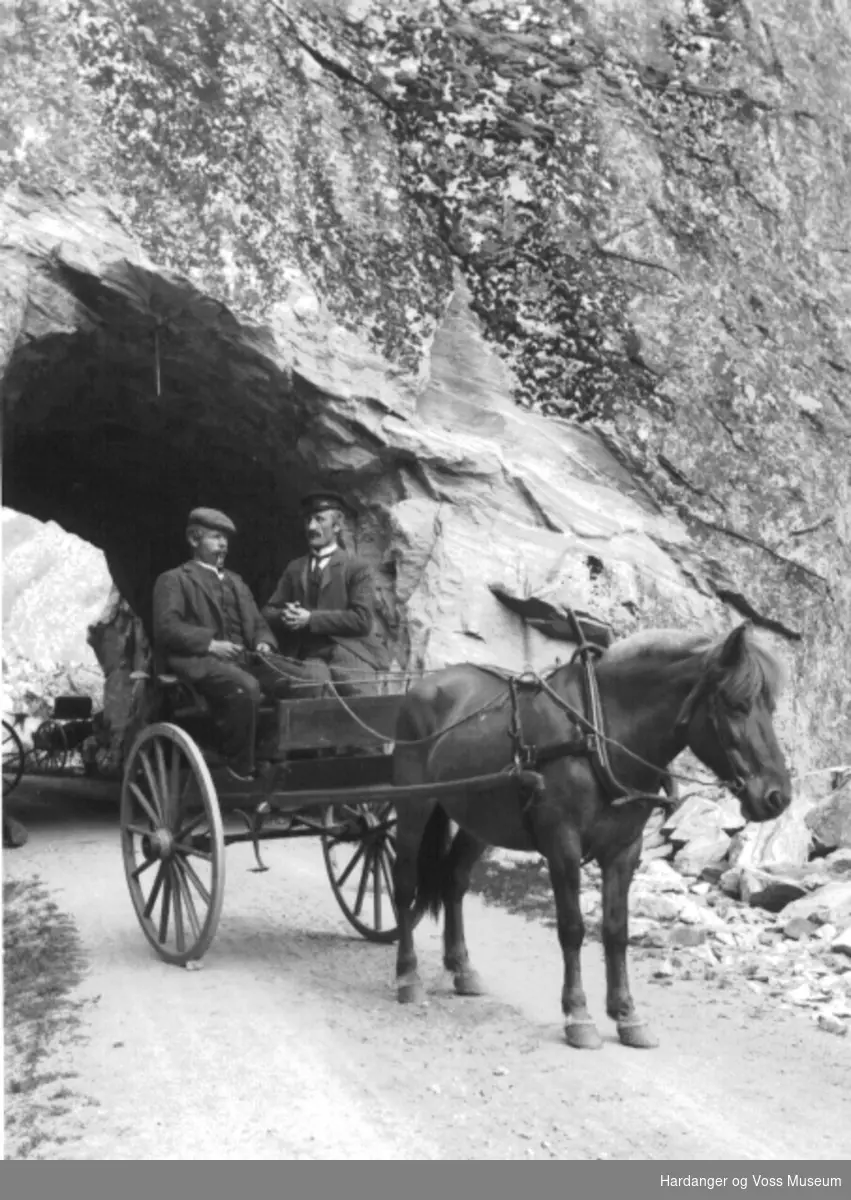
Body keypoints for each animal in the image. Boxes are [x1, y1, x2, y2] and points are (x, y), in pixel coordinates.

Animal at [388, 624, 792, 1046]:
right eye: (736, 703)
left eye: (769, 706)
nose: (777, 796)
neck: (599, 735)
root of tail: (425, 685)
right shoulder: (562, 845)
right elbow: (572, 928)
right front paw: (578, 1013)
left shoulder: (624, 850)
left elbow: (616, 930)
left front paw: (626, 1014)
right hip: (414, 805)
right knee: (403, 884)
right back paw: (407, 974)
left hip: (478, 821)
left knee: (454, 881)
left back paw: (461, 968)